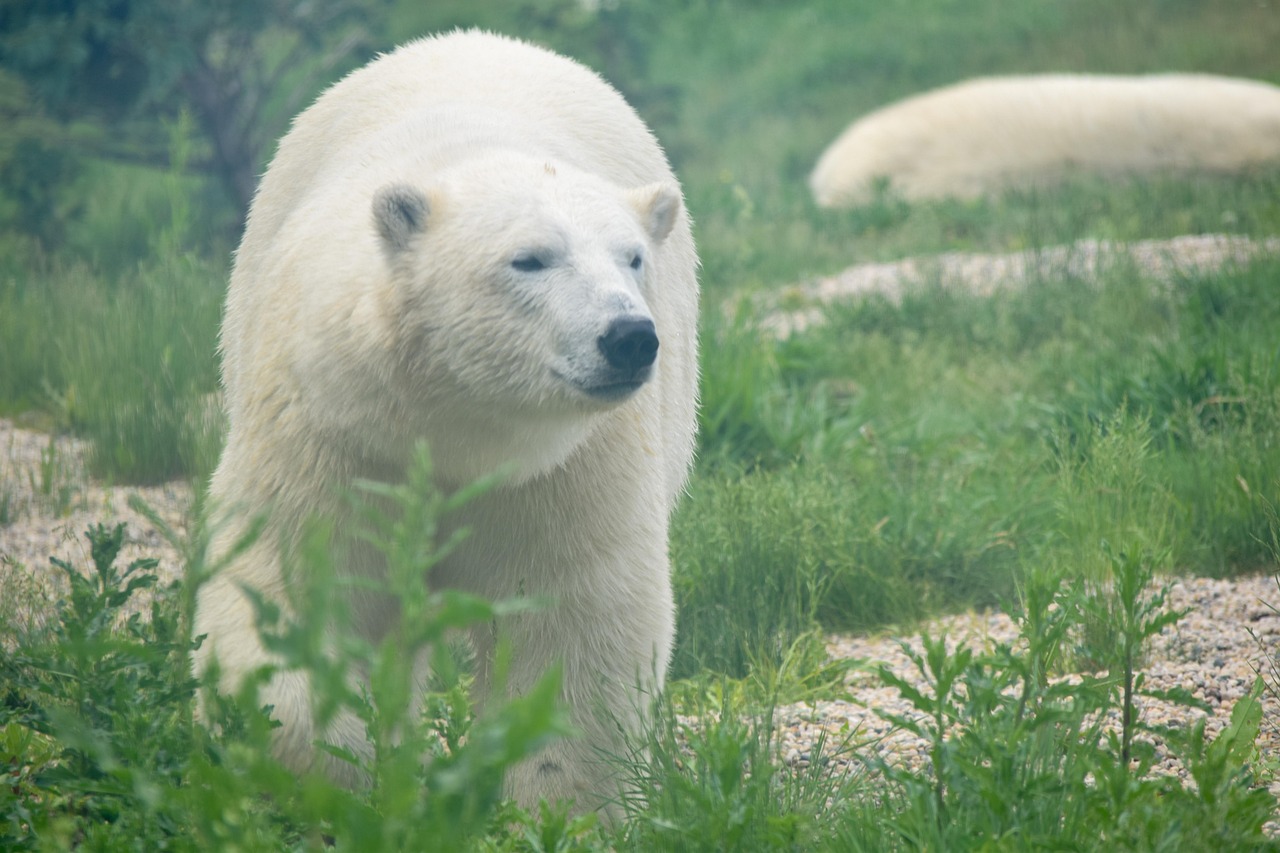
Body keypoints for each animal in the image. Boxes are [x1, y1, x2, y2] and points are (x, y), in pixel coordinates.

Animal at [193, 29, 699, 815]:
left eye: (634, 257)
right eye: (530, 259)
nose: (628, 338)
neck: (455, 420)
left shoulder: (566, 466)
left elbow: (572, 618)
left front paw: (561, 808)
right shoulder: (335, 427)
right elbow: (292, 585)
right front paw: (347, 765)